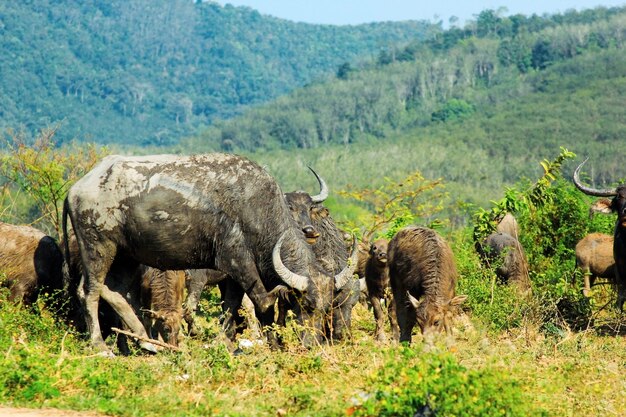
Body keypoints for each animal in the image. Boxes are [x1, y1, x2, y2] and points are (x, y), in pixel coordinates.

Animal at [65, 153, 354, 352]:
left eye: (327, 307)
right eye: (306, 305)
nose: (313, 343)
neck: (254, 209)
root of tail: (76, 189)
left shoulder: (233, 276)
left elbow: (232, 307)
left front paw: (226, 342)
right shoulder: (236, 261)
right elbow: (263, 303)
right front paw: (273, 343)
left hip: (126, 257)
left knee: (115, 292)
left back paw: (145, 342)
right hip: (98, 247)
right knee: (89, 291)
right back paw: (101, 346)